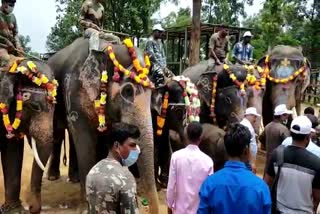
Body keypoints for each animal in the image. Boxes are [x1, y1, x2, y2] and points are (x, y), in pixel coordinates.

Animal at [40, 38, 159, 214]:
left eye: (152, 93)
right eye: (128, 91)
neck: (107, 47)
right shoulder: (73, 90)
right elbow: (84, 139)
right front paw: (85, 208)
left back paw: (73, 178)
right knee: (58, 132)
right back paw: (53, 177)